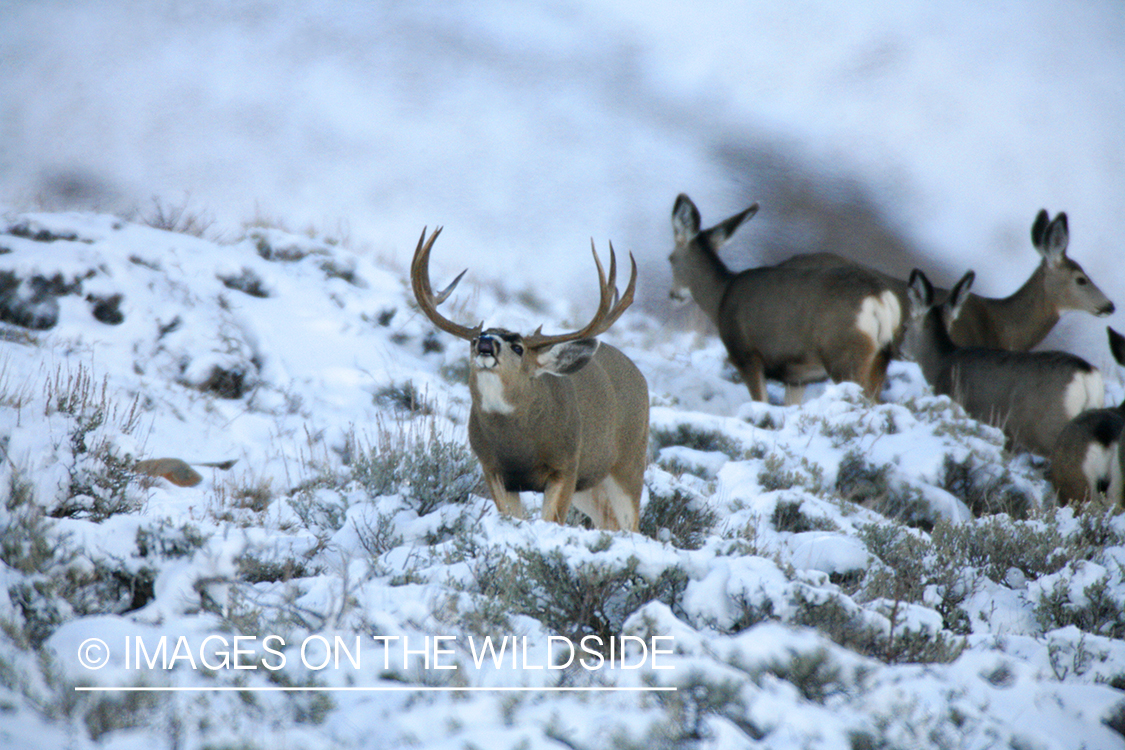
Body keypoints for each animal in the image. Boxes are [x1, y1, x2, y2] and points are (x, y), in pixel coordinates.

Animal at [411, 227, 650, 531]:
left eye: (518, 347)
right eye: (474, 339)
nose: (485, 344)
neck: (517, 446)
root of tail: (639, 374)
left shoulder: (566, 464)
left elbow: (551, 520)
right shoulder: (493, 468)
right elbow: (512, 516)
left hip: (629, 463)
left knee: (631, 523)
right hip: (591, 485)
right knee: (609, 521)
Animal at [668, 193, 902, 404]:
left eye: (670, 259)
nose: (673, 295)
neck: (720, 298)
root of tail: (879, 297)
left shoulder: (746, 355)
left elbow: (761, 402)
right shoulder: (797, 377)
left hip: (845, 354)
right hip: (881, 357)